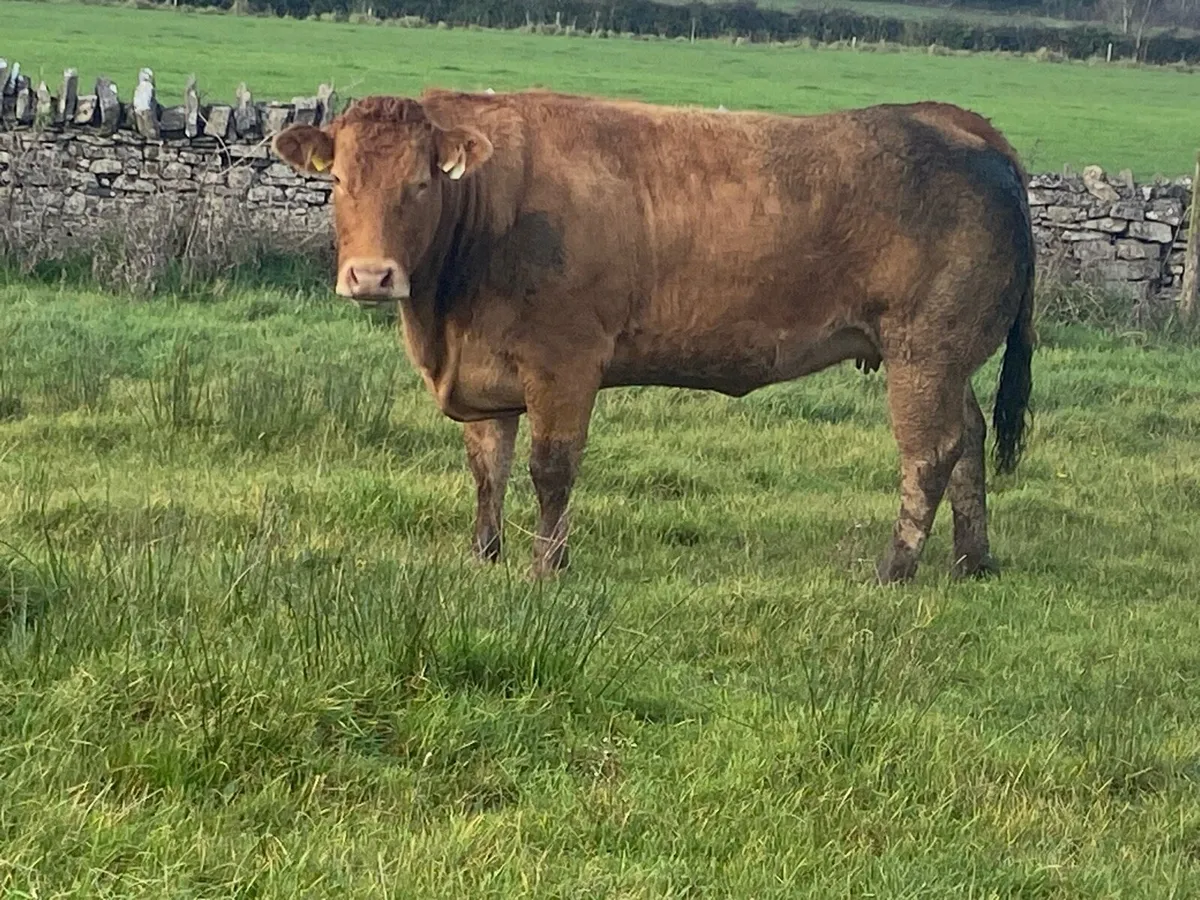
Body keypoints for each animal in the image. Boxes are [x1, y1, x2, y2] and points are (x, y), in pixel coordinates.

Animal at [272, 88, 1034, 584]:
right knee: (967, 440)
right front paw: (484, 555)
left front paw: (547, 566)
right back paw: (972, 559)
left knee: (930, 453)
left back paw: (894, 567)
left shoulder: (565, 362)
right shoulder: (488, 373)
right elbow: (488, 469)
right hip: (948, 359)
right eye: (338, 181)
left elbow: (551, 469)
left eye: (422, 184)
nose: (372, 277)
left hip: (923, 351)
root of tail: (960, 125)